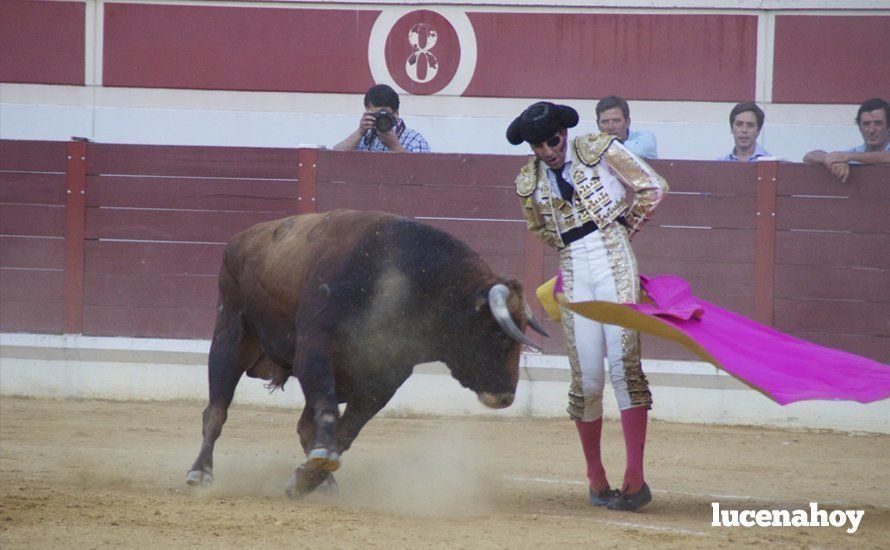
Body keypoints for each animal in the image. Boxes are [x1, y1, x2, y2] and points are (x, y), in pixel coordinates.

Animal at [185, 209, 544, 498]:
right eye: (498, 335)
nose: (505, 396)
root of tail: (241, 240)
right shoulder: (314, 351)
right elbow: (329, 411)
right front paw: (315, 468)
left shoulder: (386, 377)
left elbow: (347, 429)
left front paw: (309, 476)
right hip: (230, 334)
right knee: (216, 411)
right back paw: (200, 472)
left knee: (303, 425)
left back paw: (323, 484)